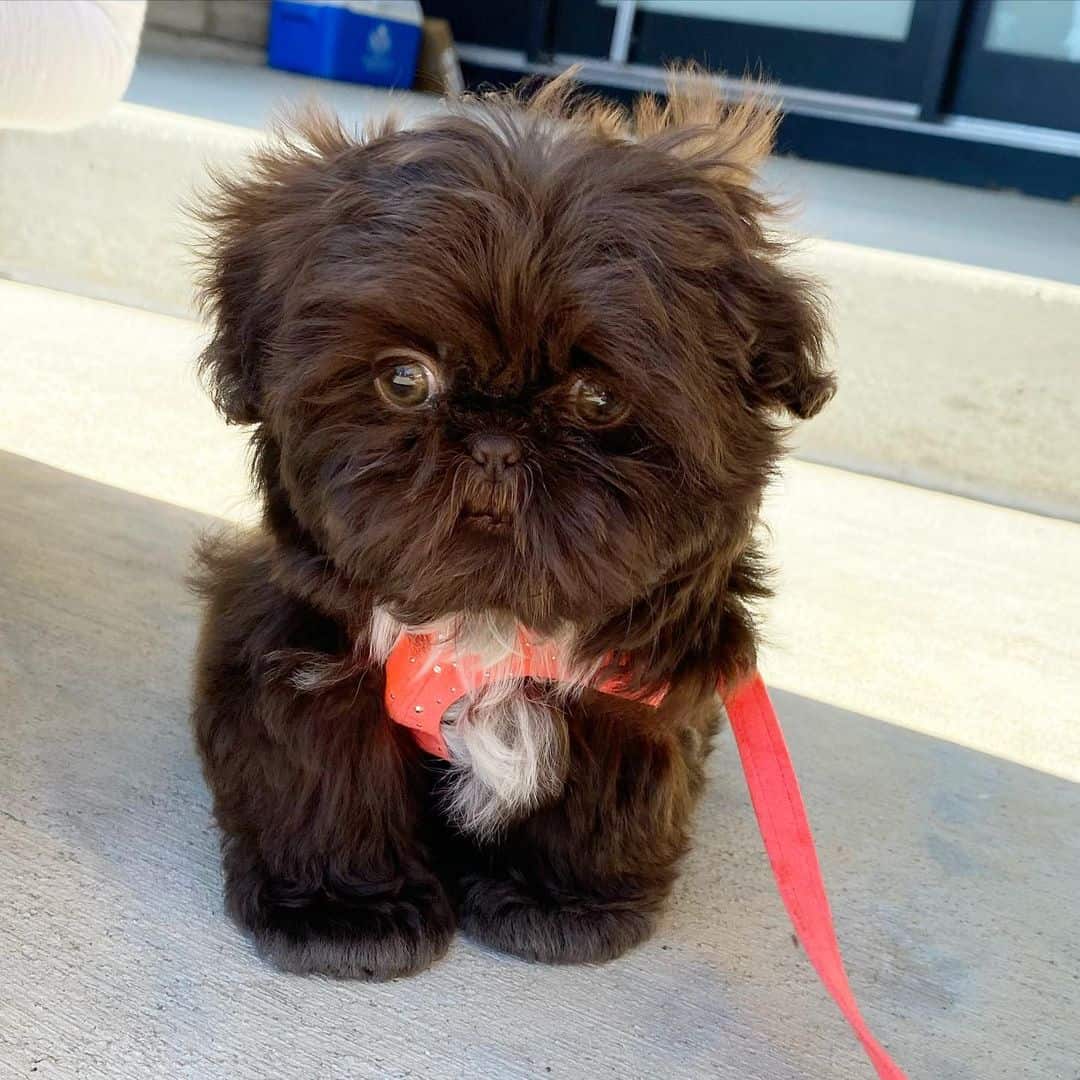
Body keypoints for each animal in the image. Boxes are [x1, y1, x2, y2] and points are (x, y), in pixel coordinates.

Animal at [192, 69, 833, 980]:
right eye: (404, 380)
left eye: (597, 399)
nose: (495, 441)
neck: (492, 622)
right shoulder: (303, 648)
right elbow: (324, 767)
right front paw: (346, 911)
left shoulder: (632, 693)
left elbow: (600, 792)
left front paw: (559, 903)